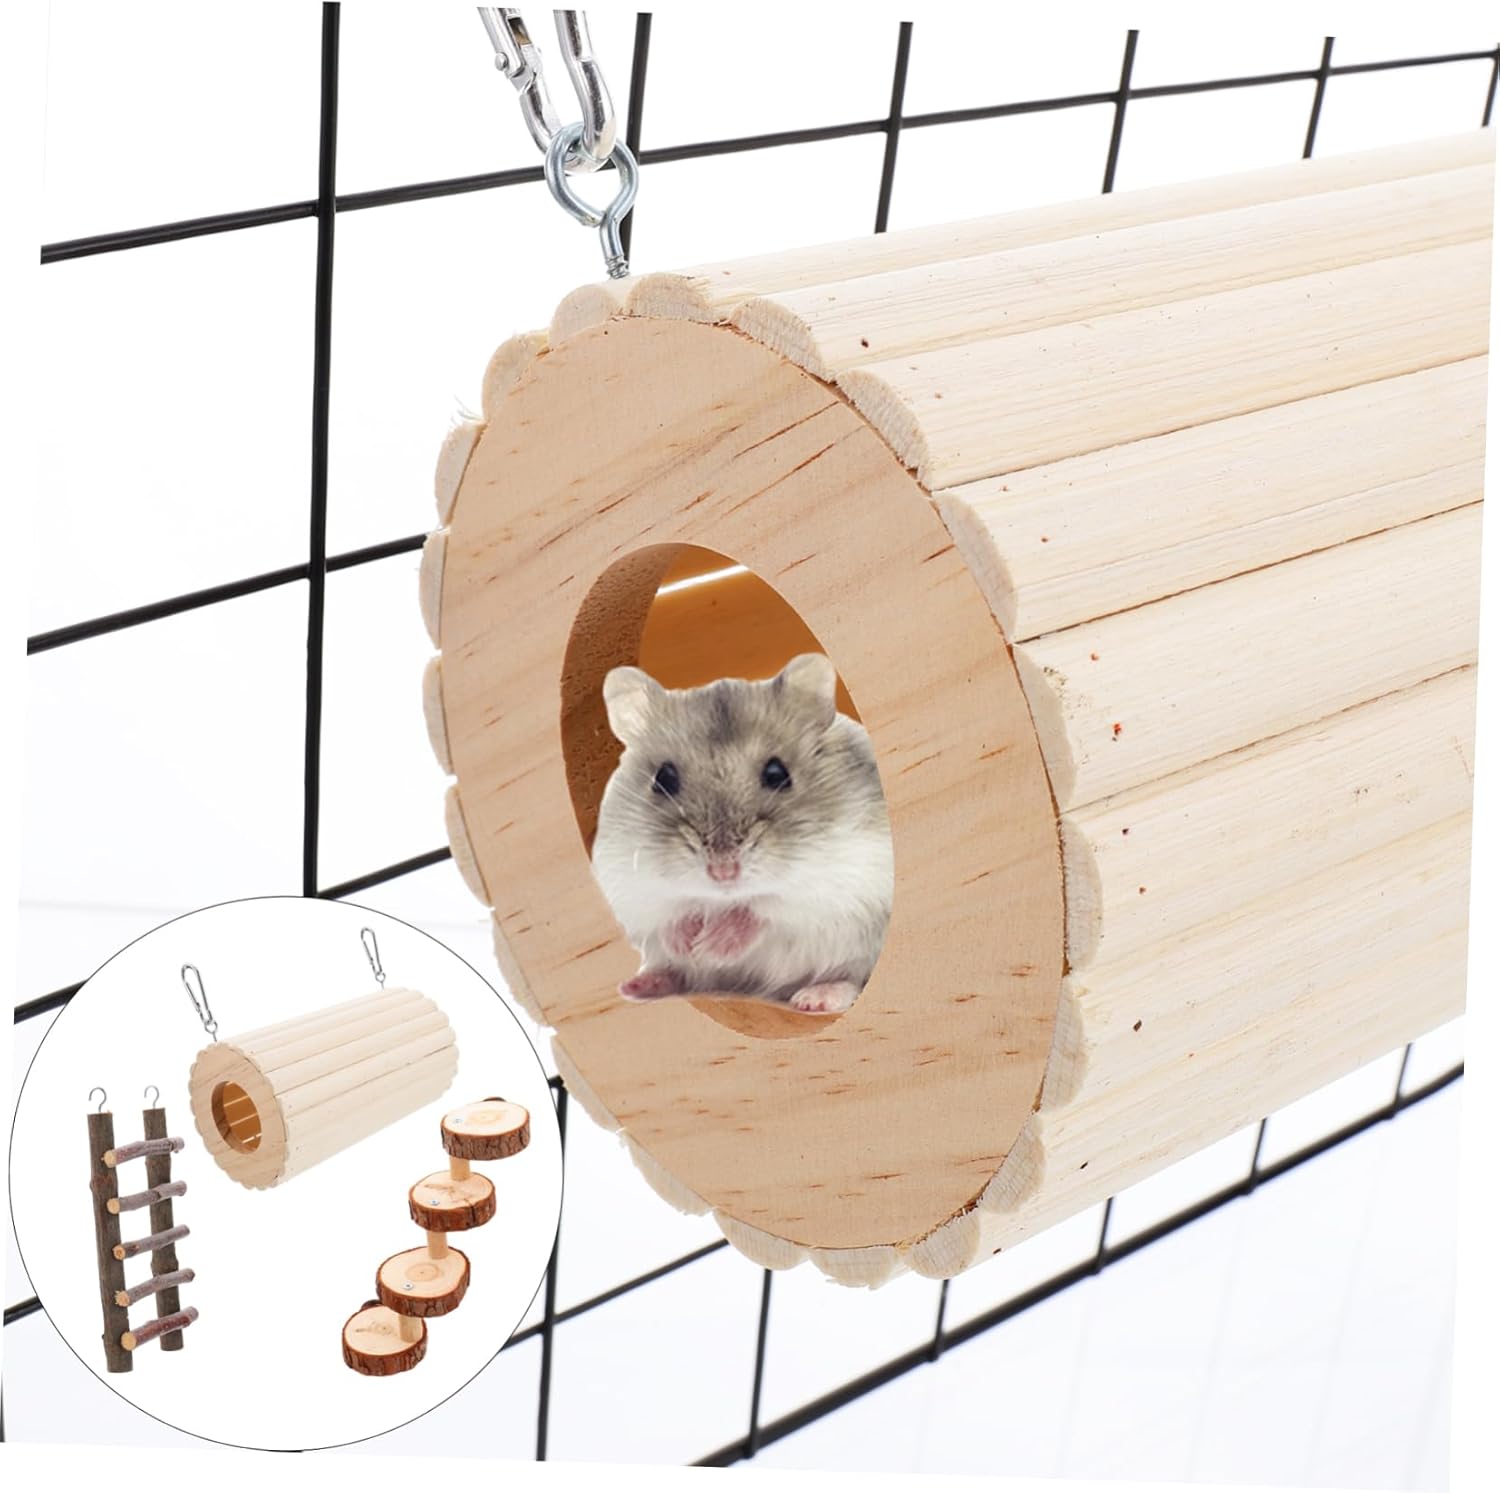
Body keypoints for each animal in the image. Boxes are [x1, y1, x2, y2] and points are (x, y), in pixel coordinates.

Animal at [590, 653, 893, 1014]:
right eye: (663, 778)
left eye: (778, 773)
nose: (723, 871)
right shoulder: (628, 883)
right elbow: (669, 911)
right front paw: (688, 942)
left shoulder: (847, 877)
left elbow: (766, 906)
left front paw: (709, 944)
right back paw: (639, 984)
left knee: (851, 978)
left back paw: (815, 998)